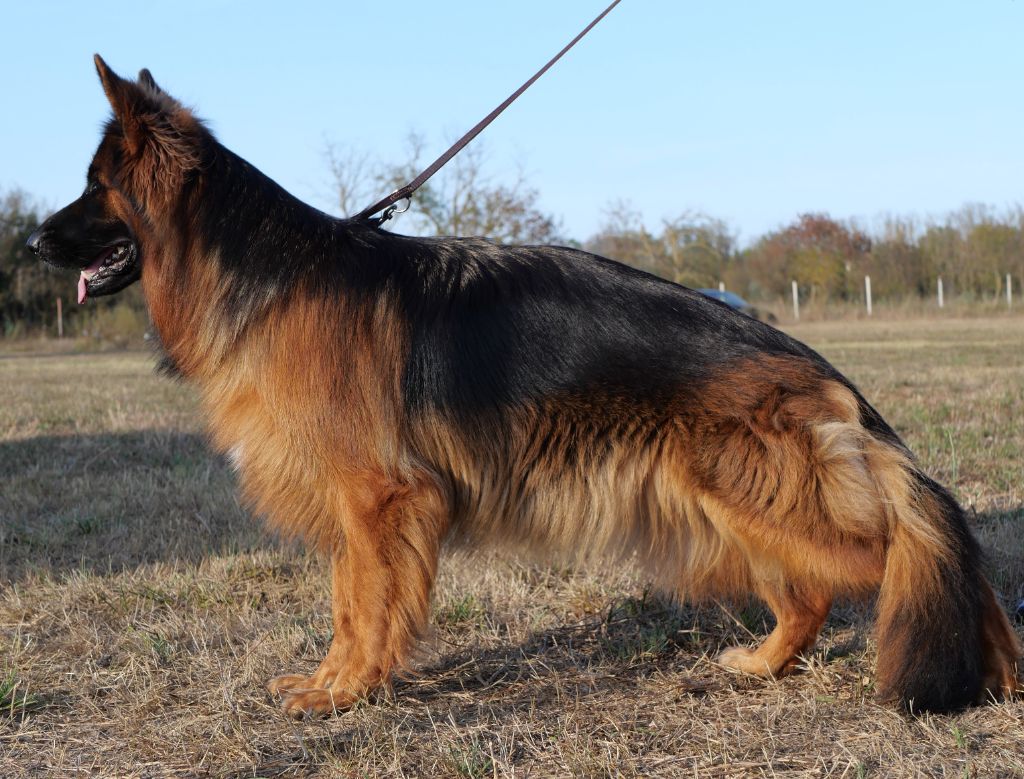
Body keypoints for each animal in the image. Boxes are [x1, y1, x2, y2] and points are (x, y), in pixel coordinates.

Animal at [28, 56, 1019, 716]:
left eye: (92, 188)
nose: (32, 243)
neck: (267, 274)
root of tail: (822, 373)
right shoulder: (359, 506)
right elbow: (349, 602)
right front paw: (337, 679)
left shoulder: (378, 499)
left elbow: (365, 605)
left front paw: (347, 690)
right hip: (737, 507)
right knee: (824, 588)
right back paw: (778, 662)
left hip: (753, 498)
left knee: (918, 548)